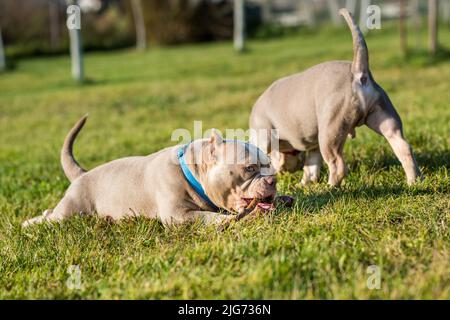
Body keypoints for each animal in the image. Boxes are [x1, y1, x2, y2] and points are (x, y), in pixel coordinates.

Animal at [250, 8, 422, 186]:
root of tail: (357, 73)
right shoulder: (313, 147)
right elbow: (311, 167)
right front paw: (304, 185)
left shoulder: (262, 135)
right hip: (384, 117)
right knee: (403, 147)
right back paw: (414, 180)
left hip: (330, 131)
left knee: (337, 164)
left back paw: (332, 186)